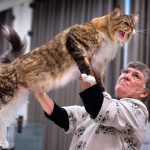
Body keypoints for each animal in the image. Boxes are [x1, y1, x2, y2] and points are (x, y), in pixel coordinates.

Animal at [0, 7, 138, 148]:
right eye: (125, 23)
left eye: (133, 25)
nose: (132, 31)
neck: (108, 37)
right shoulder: (75, 40)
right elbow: (84, 64)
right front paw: (89, 78)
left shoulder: (99, 64)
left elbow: (100, 82)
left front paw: (104, 94)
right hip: (5, 96)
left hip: (14, 101)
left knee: (3, 121)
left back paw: (3, 141)